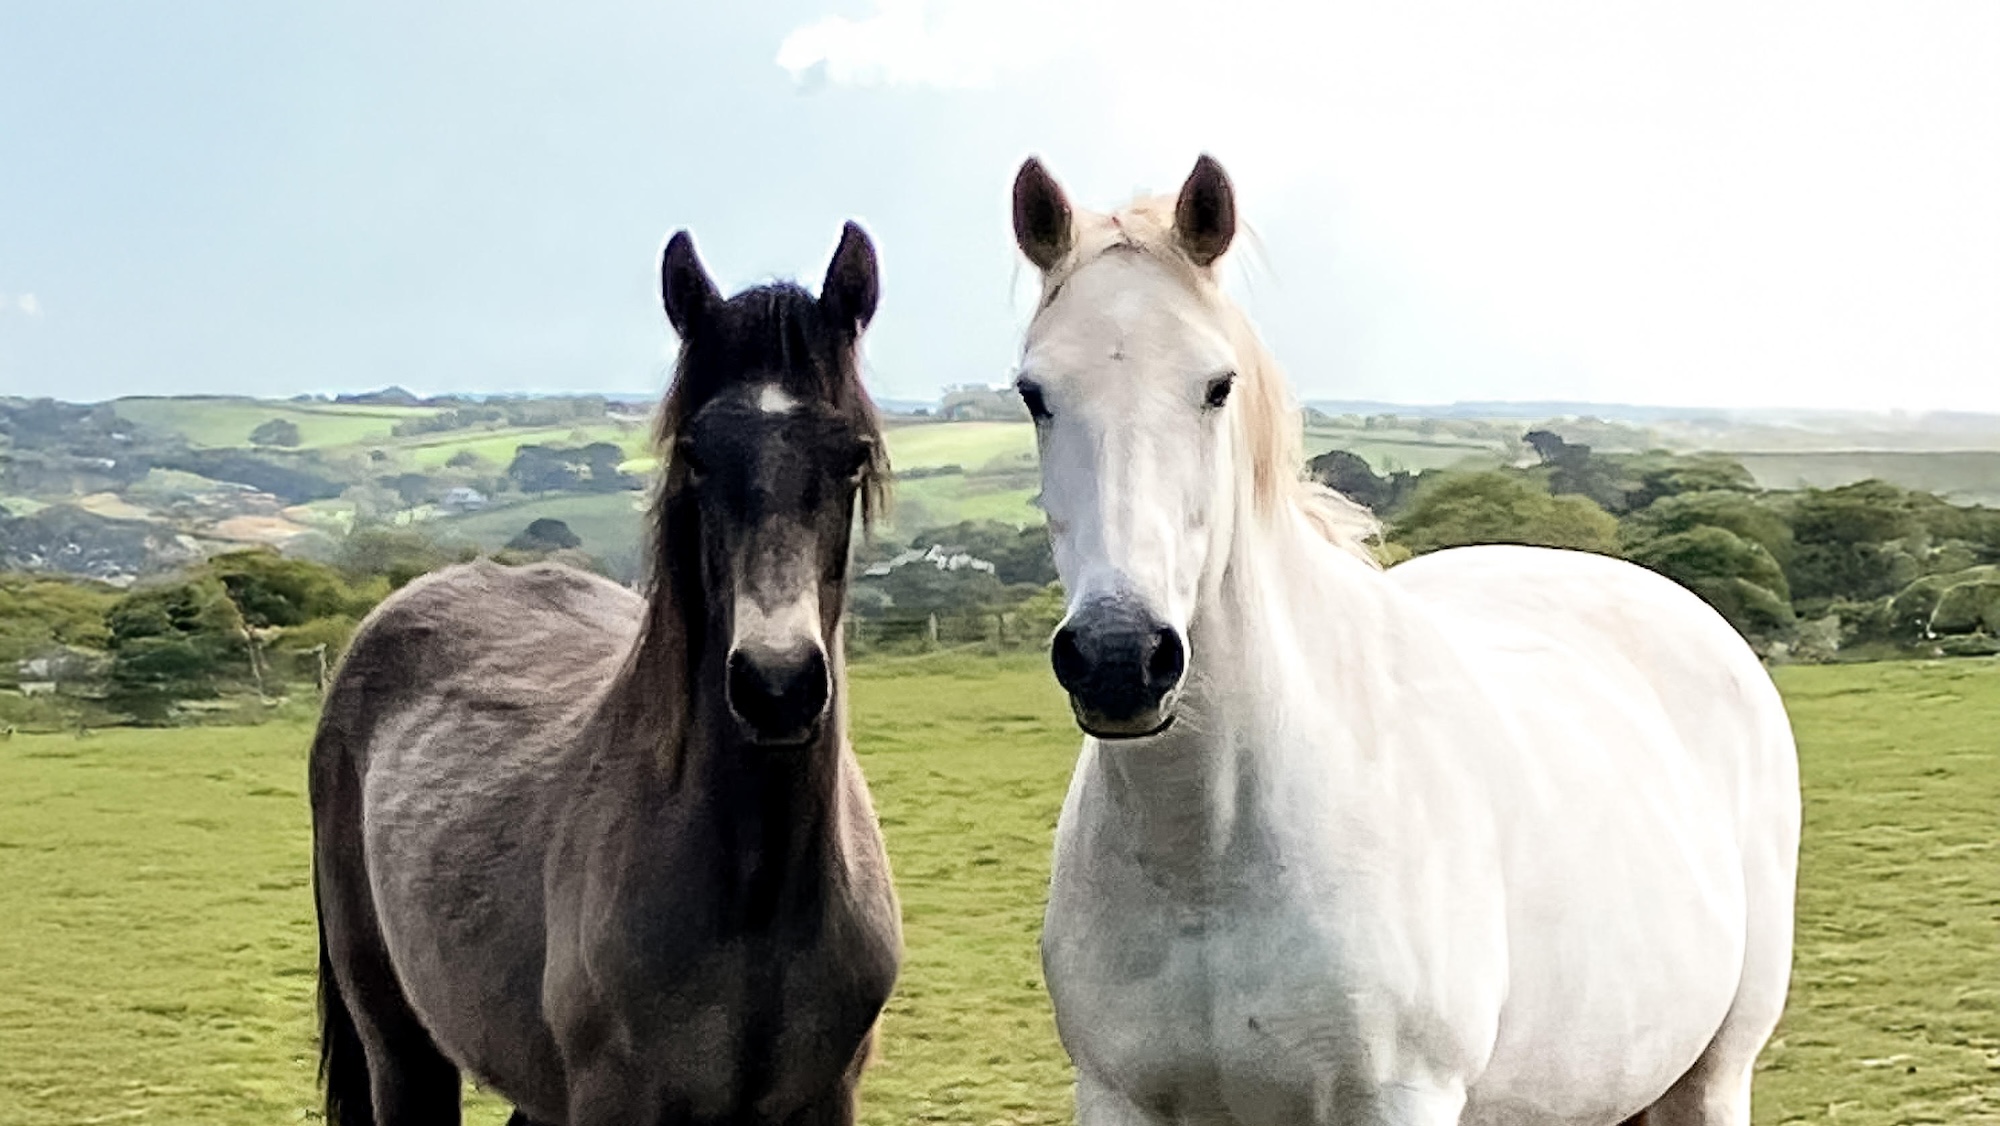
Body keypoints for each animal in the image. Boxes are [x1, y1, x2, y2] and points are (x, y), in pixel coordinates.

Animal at [310, 221, 903, 1126]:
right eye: (696, 455)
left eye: (853, 455)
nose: (778, 685)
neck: (754, 895)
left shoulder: (828, 1099)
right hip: (399, 1045)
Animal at [1008, 155, 1800, 1126]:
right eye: (1035, 394)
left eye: (1217, 385)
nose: (1120, 659)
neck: (1211, 851)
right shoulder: (1118, 1100)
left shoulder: (1401, 1097)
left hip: (1712, 1077)